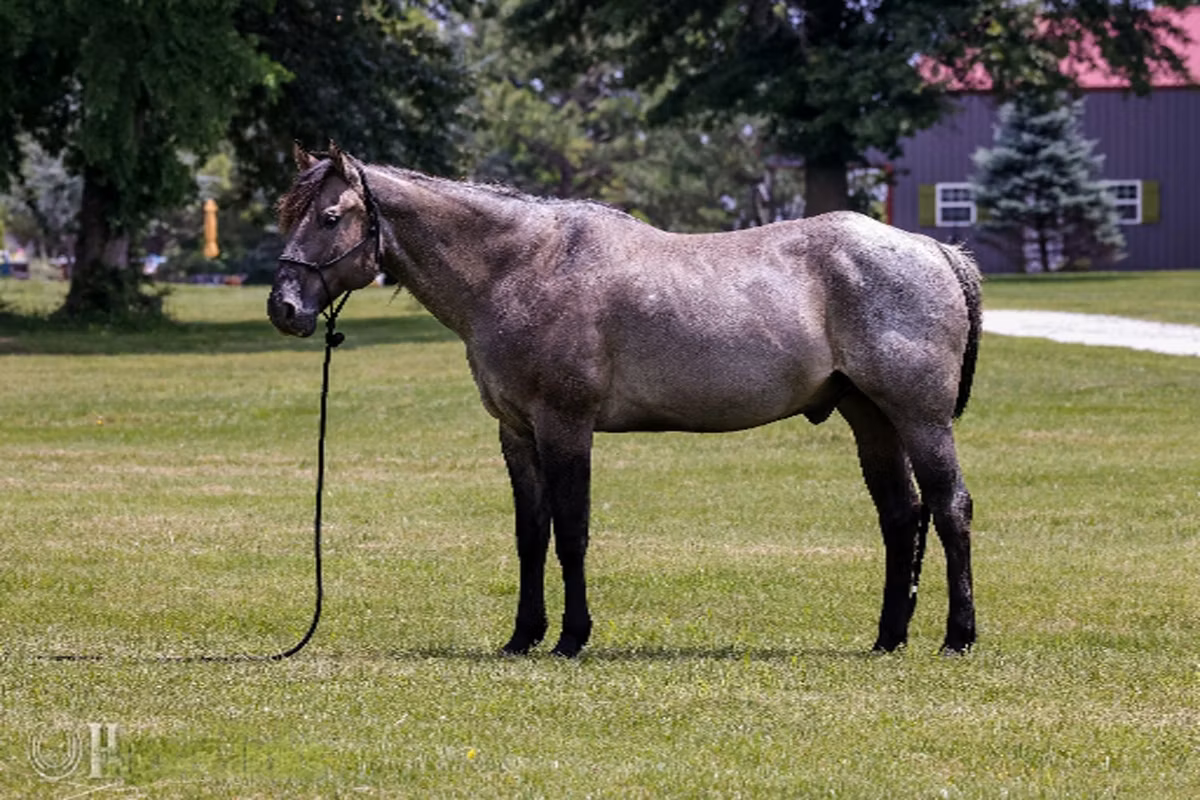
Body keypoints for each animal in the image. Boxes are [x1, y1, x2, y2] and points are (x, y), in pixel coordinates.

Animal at [268, 143, 982, 658]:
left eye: (329, 218)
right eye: (286, 215)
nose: (284, 308)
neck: (520, 267)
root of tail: (934, 248)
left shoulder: (565, 426)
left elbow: (571, 531)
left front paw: (571, 637)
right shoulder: (517, 433)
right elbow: (531, 535)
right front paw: (523, 636)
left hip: (920, 419)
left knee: (949, 509)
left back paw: (958, 636)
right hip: (871, 418)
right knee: (901, 515)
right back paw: (889, 637)